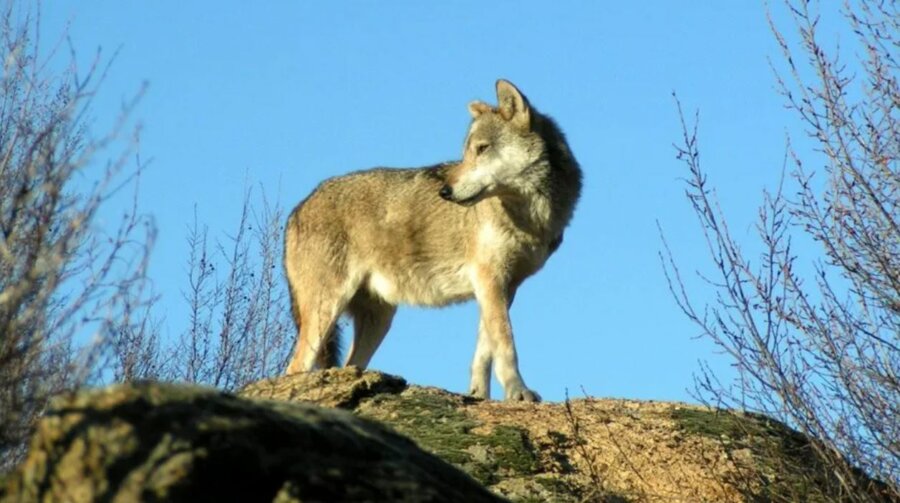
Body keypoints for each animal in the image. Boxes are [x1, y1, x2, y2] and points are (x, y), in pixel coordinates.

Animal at [284, 79, 588, 402]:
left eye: (482, 149)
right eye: (466, 153)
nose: (445, 192)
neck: (531, 216)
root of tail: (297, 209)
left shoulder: (504, 286)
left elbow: (484, 351)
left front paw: (478, 395)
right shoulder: (489, 278)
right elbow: (506, 345)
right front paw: (518, 392)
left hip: (379, 319)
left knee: (347, 364)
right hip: (326, 311)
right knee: (294, 368)